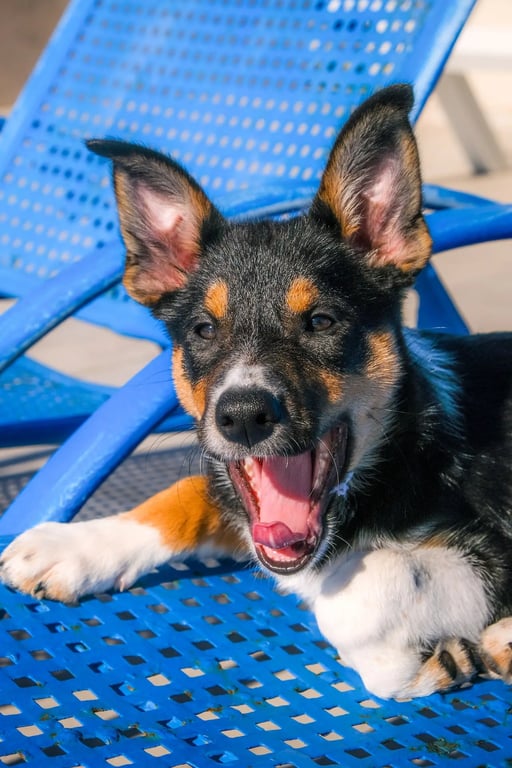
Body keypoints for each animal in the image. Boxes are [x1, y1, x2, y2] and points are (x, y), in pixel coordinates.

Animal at [1, 85, 512, 704]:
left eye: (322, 321)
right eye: (203, 330)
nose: (242, 417)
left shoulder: (487, 547)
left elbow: (355, 597)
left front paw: (434, 661)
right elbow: (190, 489)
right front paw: (72, 545)